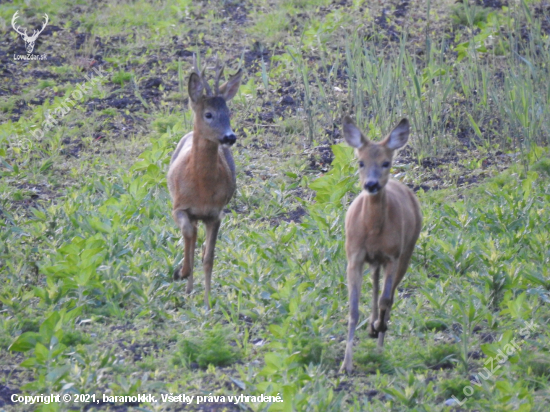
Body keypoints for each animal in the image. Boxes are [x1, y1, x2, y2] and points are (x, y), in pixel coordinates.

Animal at [168, 57, 244, 308]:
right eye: (208, 114)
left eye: (228, 112)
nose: (230, 136)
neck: (200, 188)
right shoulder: (179, 207)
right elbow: (188, 234)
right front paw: (181, 273)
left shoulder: (215, 213)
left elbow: (209, 257)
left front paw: (207, 303)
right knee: (191, 235)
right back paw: (187, 283)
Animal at [340, 115, 422, 374]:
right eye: (361, 162)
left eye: (386, 162)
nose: (371, 185)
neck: (373, 231)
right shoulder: (354, 256)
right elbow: (353, 309)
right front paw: (346, 365)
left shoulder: (393, 256)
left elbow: (386, 299)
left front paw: (379, 330)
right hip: (375, 260)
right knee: (376, 284)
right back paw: (372, 327)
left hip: (407, 251)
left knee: (389, 295)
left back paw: (378, 337)